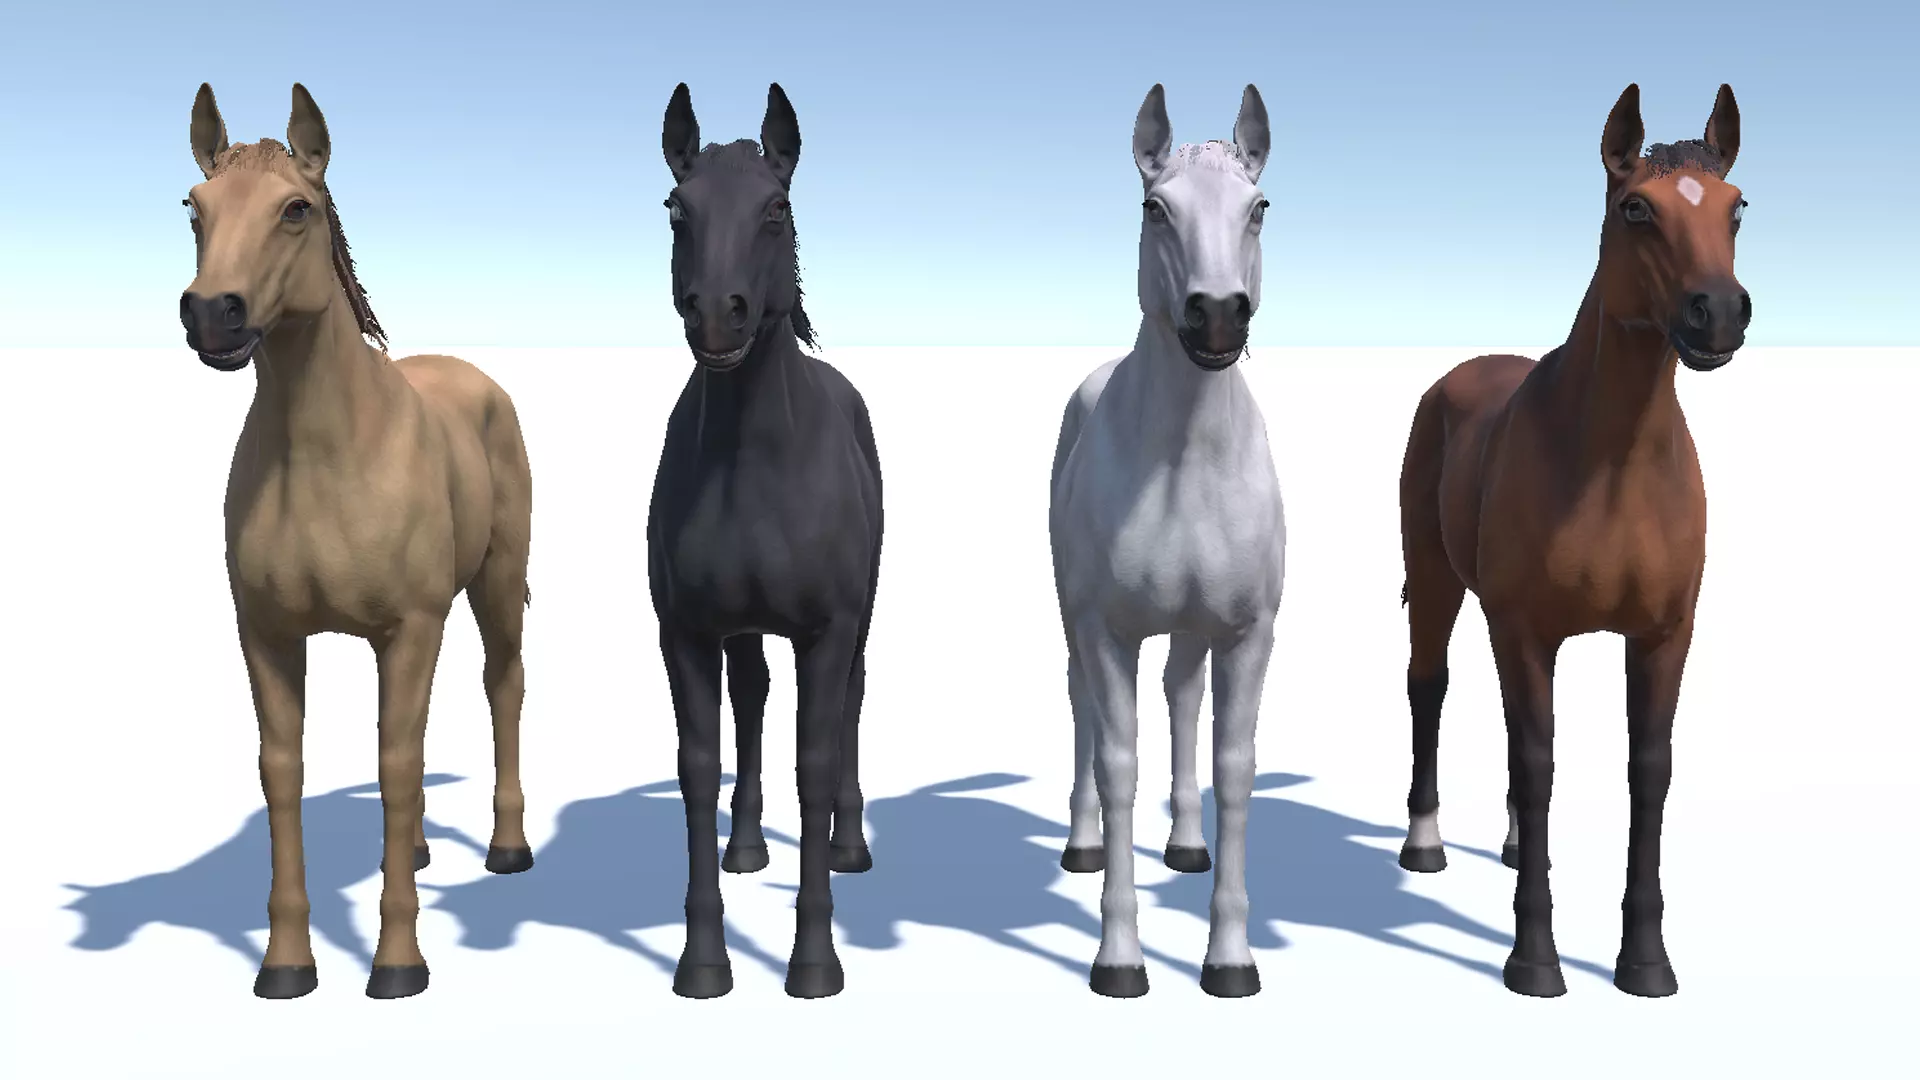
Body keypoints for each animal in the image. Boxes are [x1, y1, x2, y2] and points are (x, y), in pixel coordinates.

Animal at [179, 83, 536, 1000]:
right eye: (195, 208)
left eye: (295, 209)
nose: (212, 314)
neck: (324, 453)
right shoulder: (267, 635)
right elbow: (284, 770)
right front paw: (285, 965)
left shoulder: (409, 628)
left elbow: (396, 766)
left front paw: (398, 962)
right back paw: (416, 851)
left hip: (492, 586)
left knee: (502, 686)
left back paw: (507, 848)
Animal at [646, 82, 883, 1000]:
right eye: (678, 207)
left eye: (775, 208)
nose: (718, 316)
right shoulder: (685, 632)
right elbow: (699, 762)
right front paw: (704, 962)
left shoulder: (827, 629)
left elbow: (813, 760)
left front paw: (814, 961)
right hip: (740, 629)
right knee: (750, 696)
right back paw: (745, 847)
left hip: (860, 620)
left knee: (851, 701)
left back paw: (851, 846)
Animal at [1049, 83, 1285, 999]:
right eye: (1156, 208)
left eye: (1258, 207)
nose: (1217, 316)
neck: (1186, 458)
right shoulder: (1107, 629)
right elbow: (1118, 763)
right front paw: (1118, 958)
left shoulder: (1248, 633)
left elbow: (1234, 766)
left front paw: (1230, 958)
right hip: (1077, 621)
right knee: (1082, 706)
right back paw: (1081, 845)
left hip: (1193, 629)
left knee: (1183, 695)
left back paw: (1185, 845)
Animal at [1393, 83, 1748, 999]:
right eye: (1636, 208)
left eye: (1736, 207)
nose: (1718, 315)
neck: (1611, 462)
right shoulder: (1523, 630)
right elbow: (1538, 762)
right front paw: (1534, 960)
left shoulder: (1663, 634)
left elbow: (1647, 770)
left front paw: (1646, 962)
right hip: (1437, 580)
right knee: (1429, 687)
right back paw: (1425, 844)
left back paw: (1516, 845)